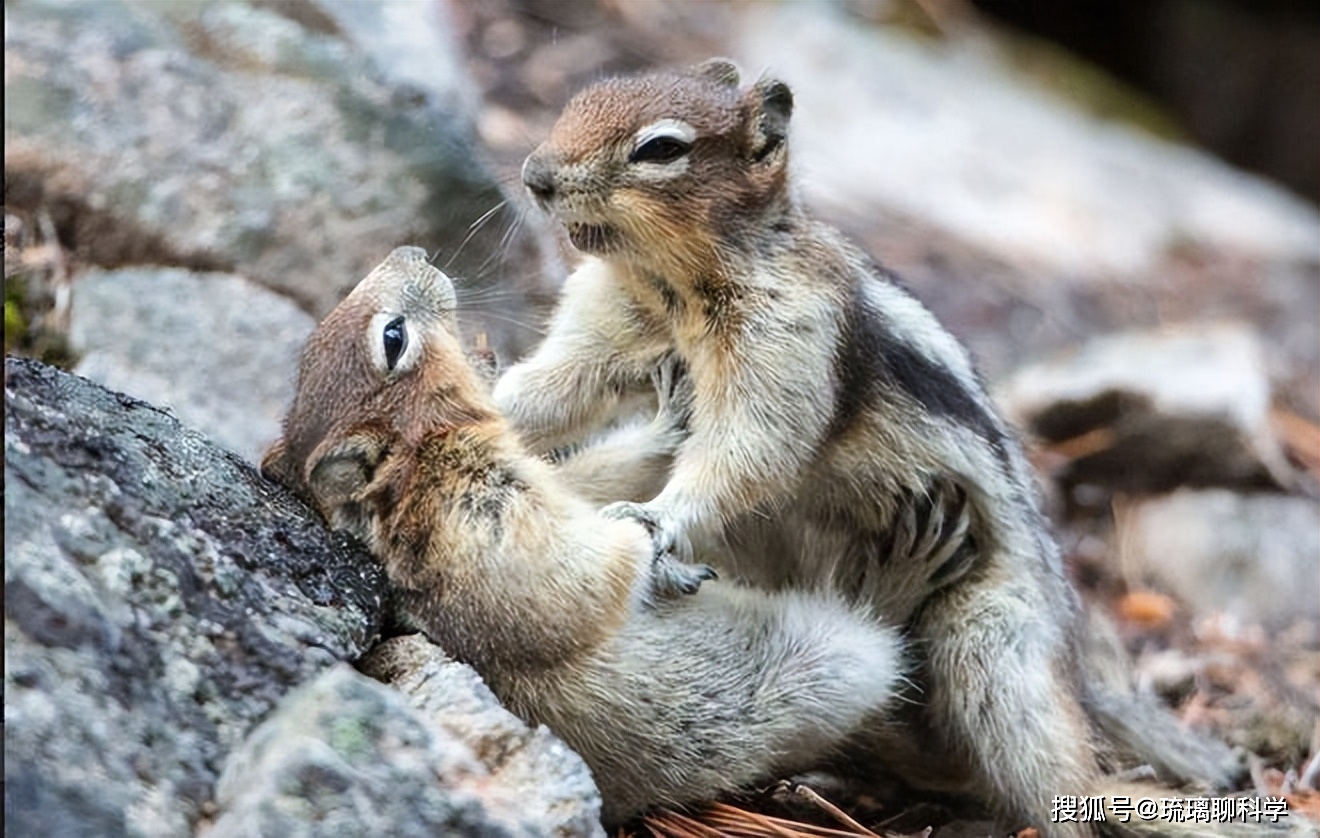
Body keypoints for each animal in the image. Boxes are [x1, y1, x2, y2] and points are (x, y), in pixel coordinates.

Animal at [260, 248, 982, 828]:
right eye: (393, 336)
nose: (411, 249)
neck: (426, 457)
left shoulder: (542, 477)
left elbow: (586, 481)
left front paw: (670, 419)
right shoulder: (484, 511)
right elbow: (590, 575)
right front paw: (657, 554)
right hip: (832, 663)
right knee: (882, 637)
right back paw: (906, 566)